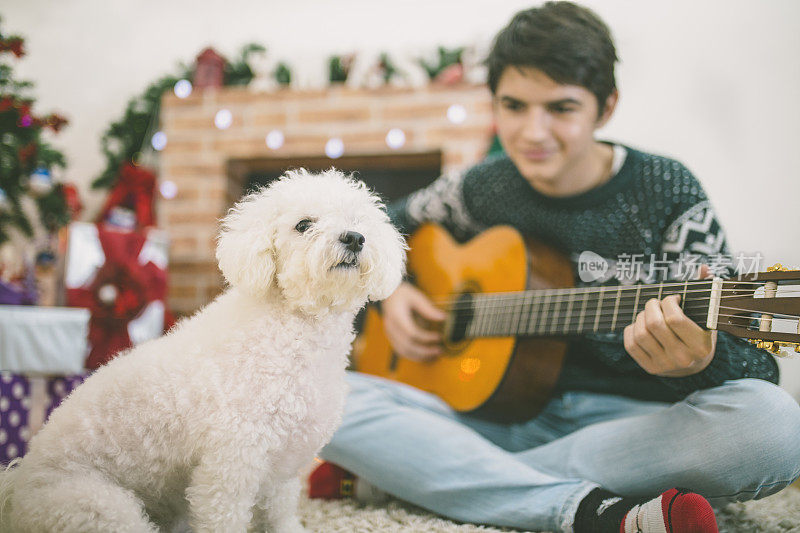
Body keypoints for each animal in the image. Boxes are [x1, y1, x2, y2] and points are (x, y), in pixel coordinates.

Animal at [0, 168, 406, 528]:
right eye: (303, 224)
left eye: (357, 221)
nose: (354, 238)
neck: (294, 332)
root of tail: (17, 491)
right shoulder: (229, 467)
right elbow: (225, 518)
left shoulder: (282, 469)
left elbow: (281, 516)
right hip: (101, 506)